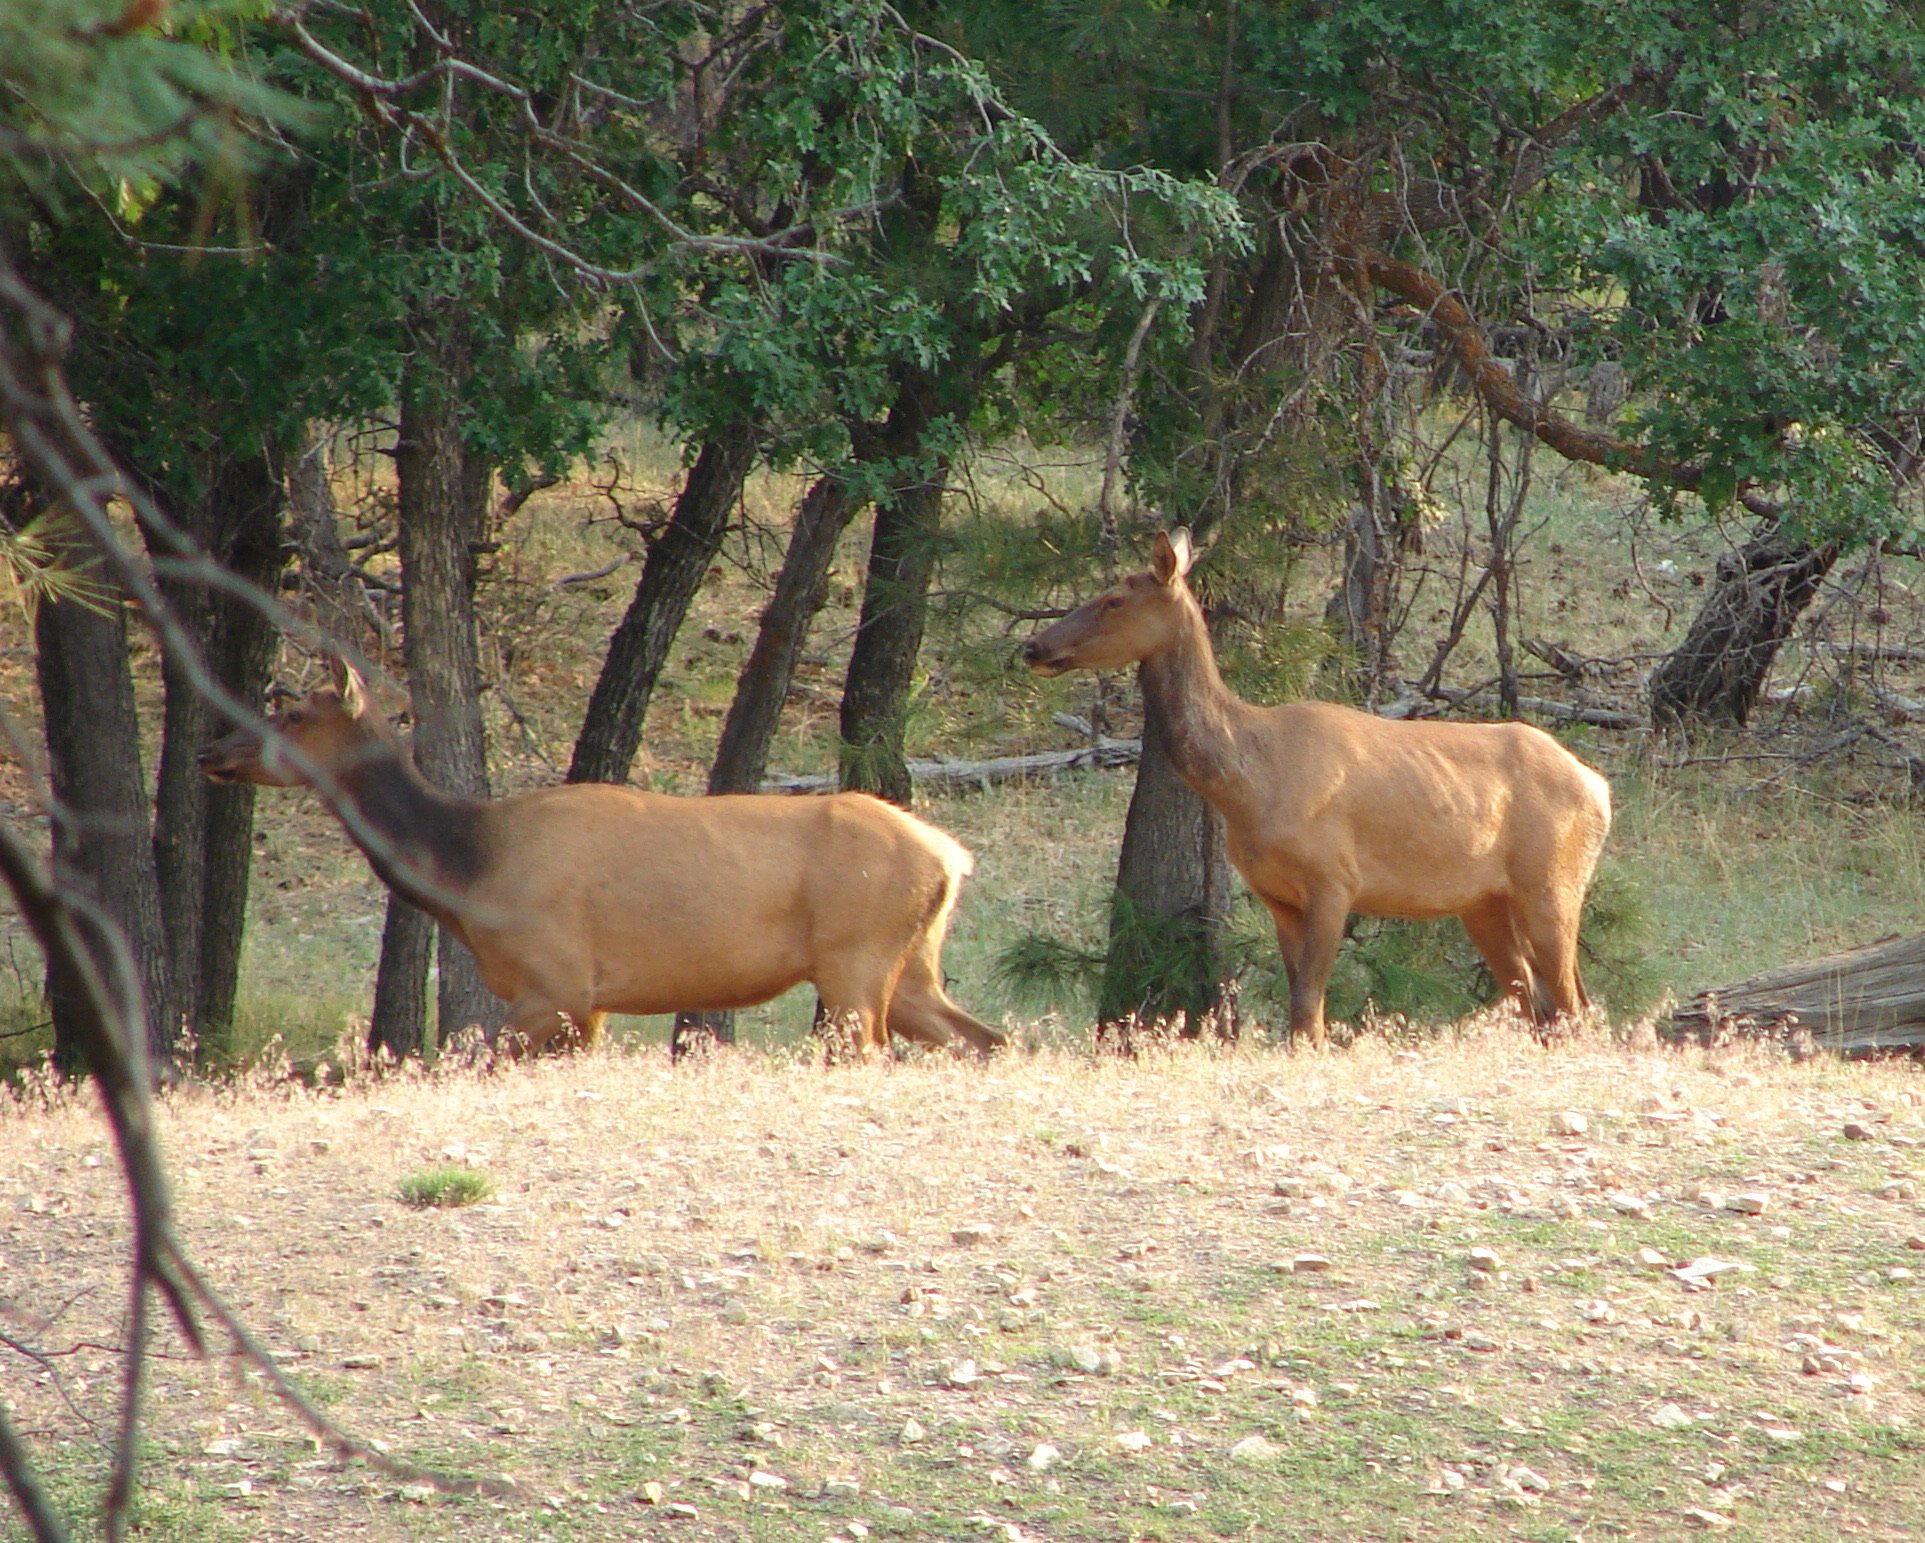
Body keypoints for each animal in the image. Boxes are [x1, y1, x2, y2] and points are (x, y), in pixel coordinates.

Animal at [199, 658, 1006, 1060]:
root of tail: (952, 856)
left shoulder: (559, 981)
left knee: (872, 1049)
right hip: (911, 964)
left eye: (292, 714)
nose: (213, 748)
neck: (469, 870)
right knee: (984, 1039)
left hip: (854, 956)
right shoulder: (587, 1006)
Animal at [1022, 529, 1613, 1046]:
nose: (1033, 646)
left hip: (1551, 878)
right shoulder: (1277, 895)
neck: (1249, 784)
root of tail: (1599, 787)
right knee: (1540, 1002)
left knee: (1574, 1004)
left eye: (1114, 600)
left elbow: (1308, 1011)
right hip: (1484, 901)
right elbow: (1301, 1009)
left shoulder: (1335, 877)